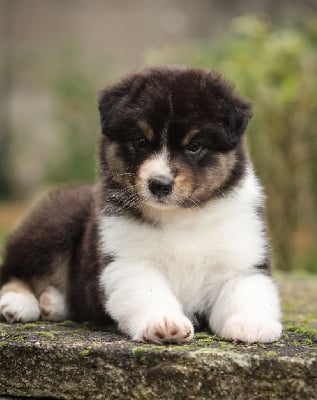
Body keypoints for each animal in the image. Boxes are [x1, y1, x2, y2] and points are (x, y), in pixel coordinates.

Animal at [0, 66, 282, 344]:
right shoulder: (129, 262)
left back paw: (53, 303)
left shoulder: (242, 261)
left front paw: (251, 325)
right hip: (55, 224)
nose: (159, 184)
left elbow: (245, 291)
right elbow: (149, 292)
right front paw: (165, 324)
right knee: (15, 269)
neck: (182, 216)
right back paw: (18, 303)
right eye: (140, 141)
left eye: (194, 145)